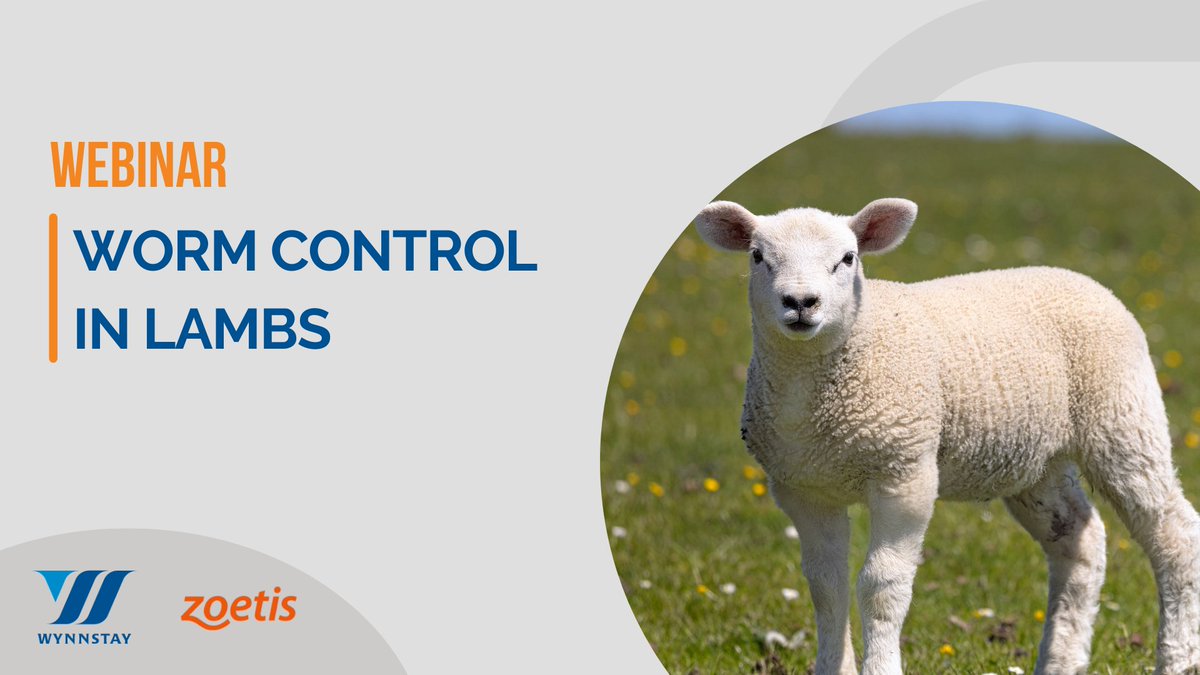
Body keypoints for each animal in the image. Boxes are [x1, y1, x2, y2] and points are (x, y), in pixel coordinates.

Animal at [693, 198, 1200, 675]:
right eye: (758, 256)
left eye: (848, 258)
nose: (801, 302)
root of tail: (1080, 279)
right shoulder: (803, 488)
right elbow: (825, 587)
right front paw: (832, 667)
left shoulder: (905, 473)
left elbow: (880, 585)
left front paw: (881, 668)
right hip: (1034, 459)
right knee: (1079, 539)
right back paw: (1060, 661)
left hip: (1122, 417)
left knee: (1174, 535)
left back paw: (1177, 658)